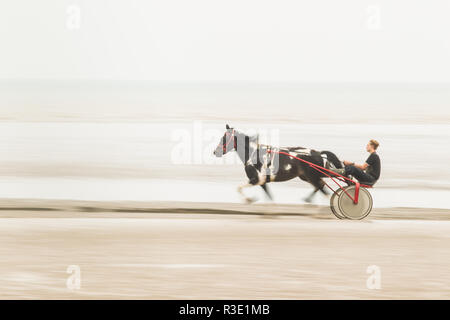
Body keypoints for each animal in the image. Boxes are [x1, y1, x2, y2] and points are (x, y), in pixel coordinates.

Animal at [213, 124, 342, 202]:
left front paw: (249, 200)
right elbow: (269, 197)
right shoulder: (263, 182)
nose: (215, 152)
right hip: (306, 176)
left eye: (224, 139)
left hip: (311, 176)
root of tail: (318, 153)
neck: (254, 154)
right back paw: (308, 201)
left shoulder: (257, 179)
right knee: (320, 186)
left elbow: (239, 188)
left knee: (322, 189)